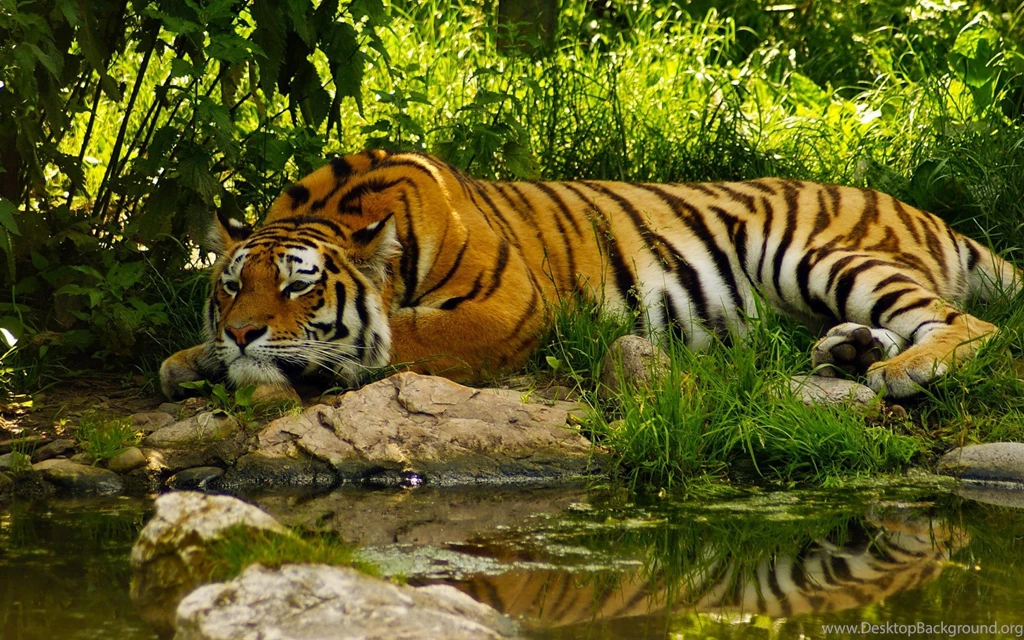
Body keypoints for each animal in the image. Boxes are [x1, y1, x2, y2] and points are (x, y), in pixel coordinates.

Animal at [159, 149, 1020, 400]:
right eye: (231, 284)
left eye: (300, 285)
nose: (243, 333)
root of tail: (920, 210)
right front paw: (191, 359)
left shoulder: (505, 308)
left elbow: (397, 337)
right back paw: (849, 351)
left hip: (816, 252)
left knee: (970, 323)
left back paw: (903, 370)